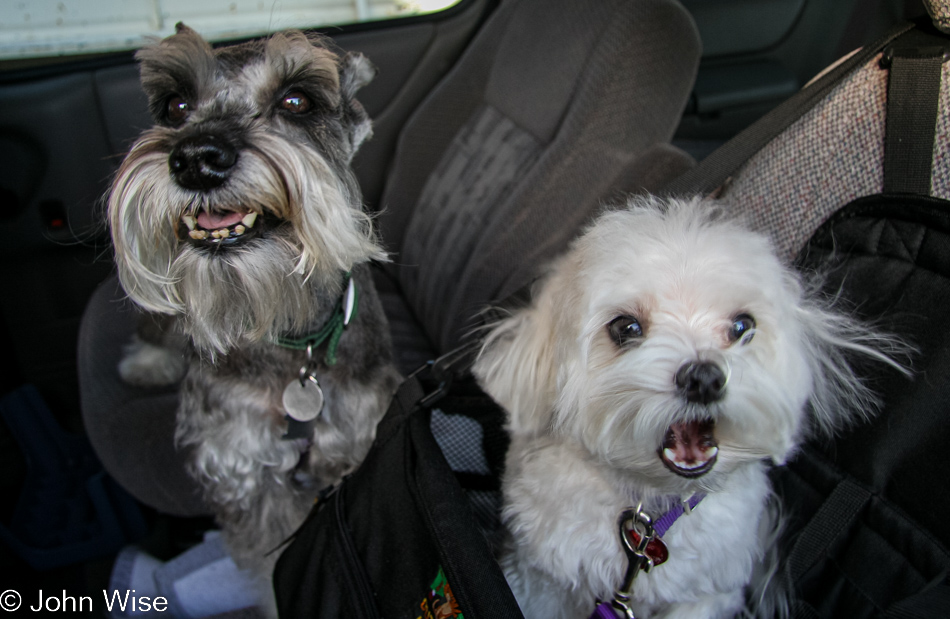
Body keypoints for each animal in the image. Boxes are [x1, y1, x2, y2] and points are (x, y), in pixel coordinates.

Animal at [107, 25, 402, 580]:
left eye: (297, 100)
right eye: (176, 105)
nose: (196, 158)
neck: (293, 338)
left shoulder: (352, 442)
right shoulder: (243, 465)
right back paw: (146, 362)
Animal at [472, 197, 912, 619]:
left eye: (742, 327)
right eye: (626, 327)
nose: (704, 378)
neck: (651, 509)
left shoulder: (711, 592)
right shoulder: (540, 578)